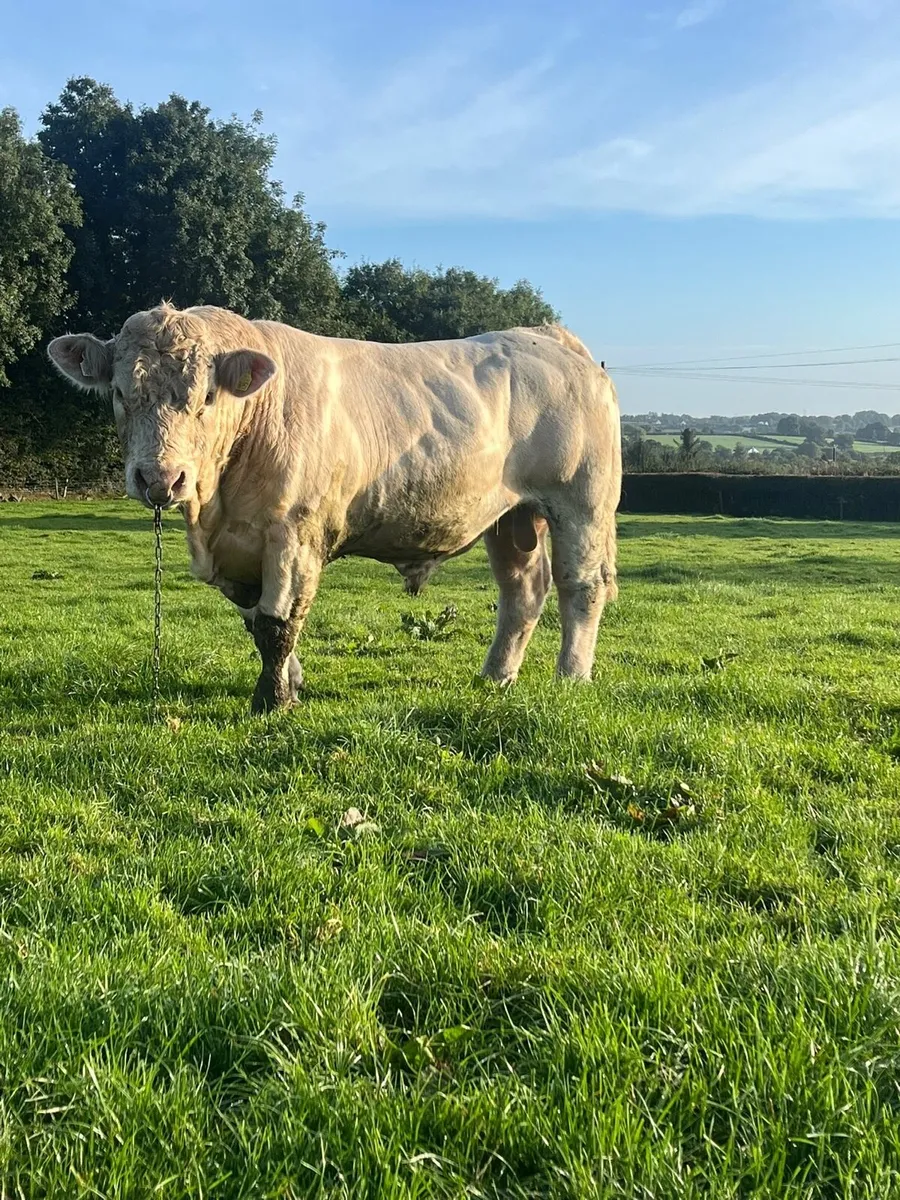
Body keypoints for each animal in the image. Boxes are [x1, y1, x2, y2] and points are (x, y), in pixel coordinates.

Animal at [48, 305, 621, 714]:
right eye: (119, 392)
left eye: (207, 396)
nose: (160, 479)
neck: (216, 510)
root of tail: (548, 336)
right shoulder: (237, 550)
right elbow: (256, 623)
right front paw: (291, 683)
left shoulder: (294, 534)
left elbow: (277, 623)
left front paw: (272, 702)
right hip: (510, 517)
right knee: (522, 591)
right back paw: (496, 676)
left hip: (581, 502)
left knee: (581, 586)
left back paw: (571, 676)